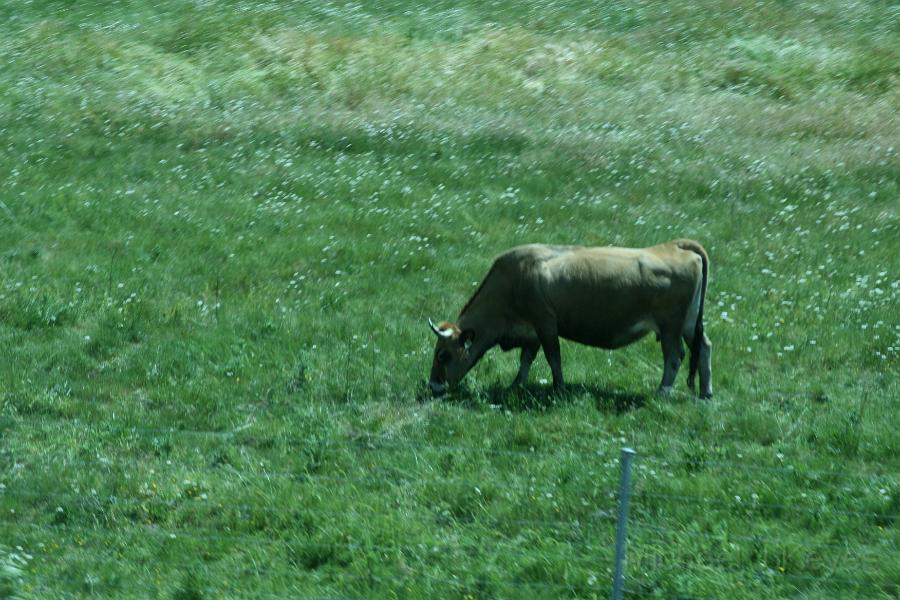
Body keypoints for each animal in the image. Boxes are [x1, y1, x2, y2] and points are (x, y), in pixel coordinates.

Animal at [426, 239, 712, 398]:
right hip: (689, 324)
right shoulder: (531, 332)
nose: (433, 386)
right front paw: (516, 385)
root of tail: (674, 246)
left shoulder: (545, 323)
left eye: (443, 355)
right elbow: (526, 359)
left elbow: (553, 357)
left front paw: (559, 388)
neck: (510, 282)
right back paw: (705, 392)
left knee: (674, 356)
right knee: (704, 347)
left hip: (670, 326)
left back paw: (662, 392)